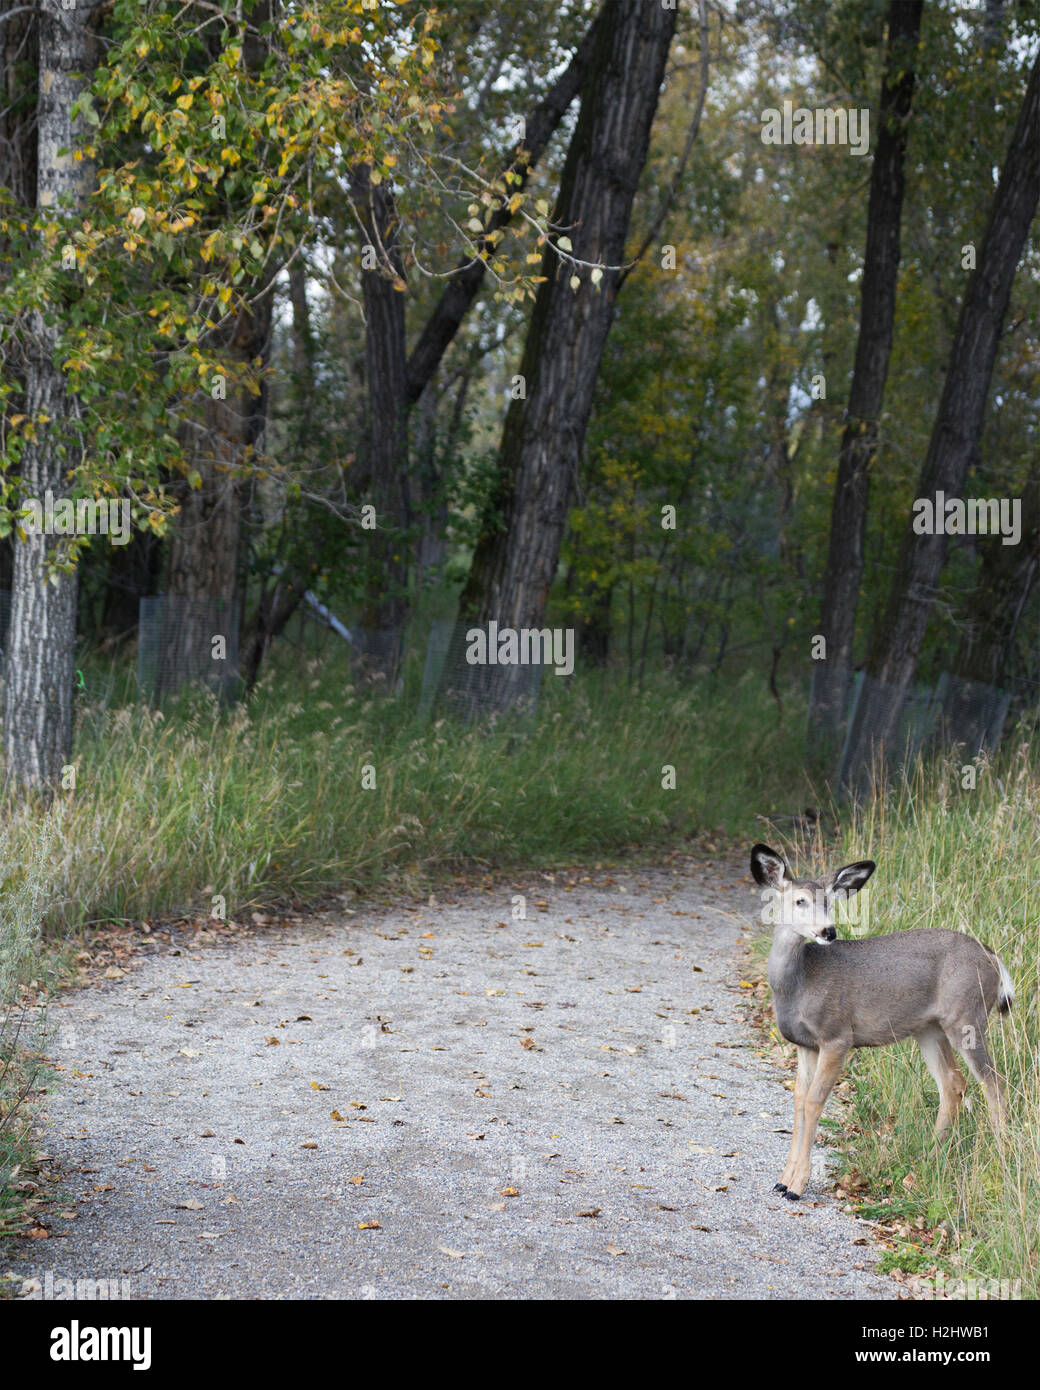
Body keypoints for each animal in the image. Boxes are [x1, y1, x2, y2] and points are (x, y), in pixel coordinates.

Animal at [750, 839, 1012, 1200]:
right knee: (952, 1083)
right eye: (800, 900)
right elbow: (799, 1100)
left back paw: (1002, 1157)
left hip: (967, 1017)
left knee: (993, 1082)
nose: (828, 931)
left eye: (829, 902)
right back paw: (929, 1160)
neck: (799, 983)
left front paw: (797, 1185)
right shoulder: (805, 1044)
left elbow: (815, 1100)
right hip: (929, 1029)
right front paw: (783, 1179)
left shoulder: (837, 1035)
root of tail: (994, 958)